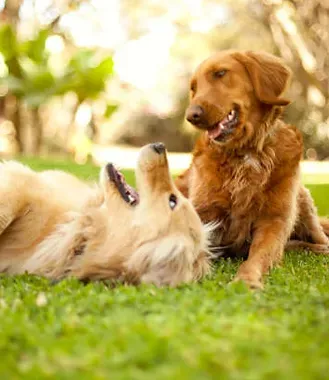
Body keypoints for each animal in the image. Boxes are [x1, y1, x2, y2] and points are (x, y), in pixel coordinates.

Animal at [177, 49, 328, 288]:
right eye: (194, 88)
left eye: (220, 73)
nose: (192, 116)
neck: (246, 152)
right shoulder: (203, 212)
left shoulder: (274, 221)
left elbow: (258, 256)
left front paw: (246, 280)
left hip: (304, 203)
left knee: (319, 239)